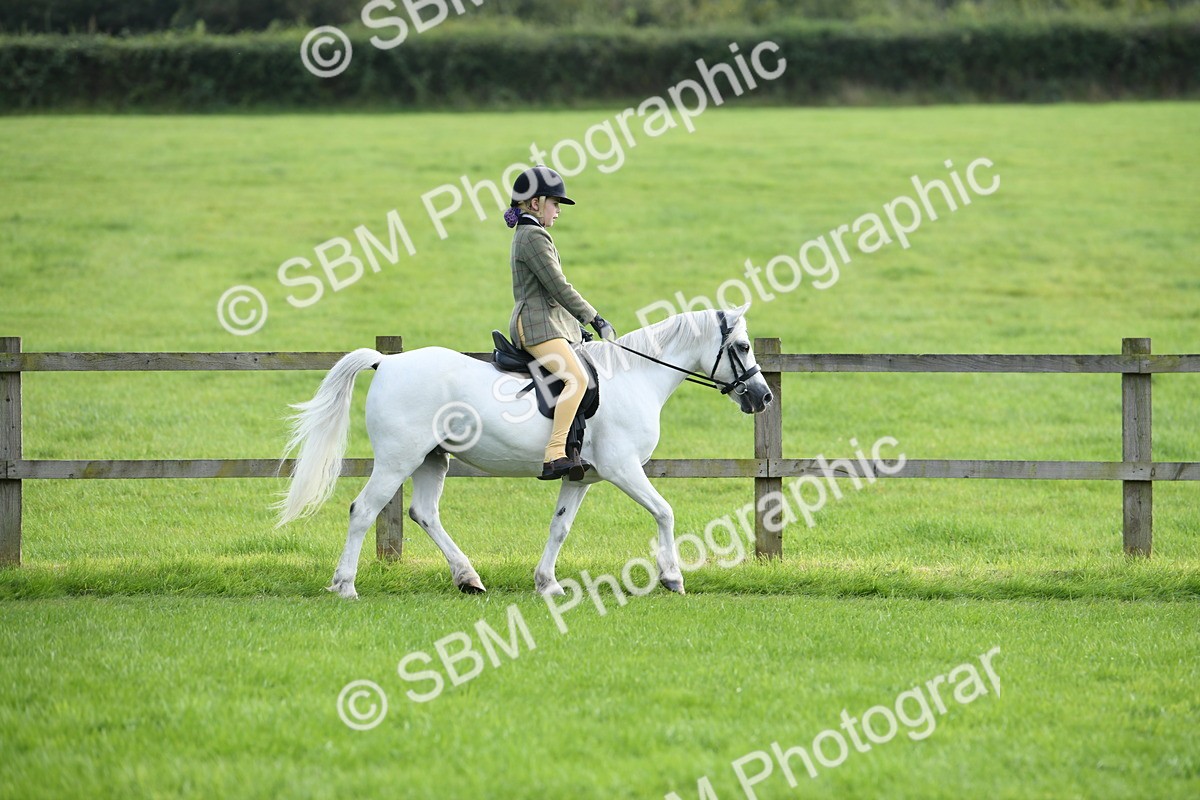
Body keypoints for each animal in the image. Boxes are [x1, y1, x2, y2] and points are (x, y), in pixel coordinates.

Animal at [276, 304, 773, 599]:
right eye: (743, 346)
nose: (763, 397)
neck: (635, 377)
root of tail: (388, 361)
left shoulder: (580, 476)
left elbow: (560, 528)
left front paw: (547, 583)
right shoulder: (622, 468)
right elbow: (665, 511)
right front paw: (672, 577)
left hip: (432, 459)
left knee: (424, 513)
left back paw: (468, 578)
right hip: (398, 459)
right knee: (363, 510)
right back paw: (345, 586)